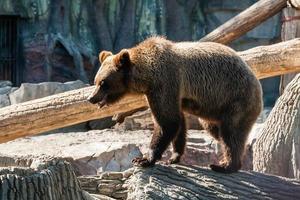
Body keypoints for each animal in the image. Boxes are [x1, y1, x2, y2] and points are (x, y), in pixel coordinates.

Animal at [87, 36, 262, 173]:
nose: (91, 98)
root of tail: (257, 84)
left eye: (103, 83)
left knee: (231, 133)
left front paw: (143, 159)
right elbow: (178, 122)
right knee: (215, 130)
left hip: (235, 99)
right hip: (215, 109)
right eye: (95, 81)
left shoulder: (164, 83)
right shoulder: (166, 93)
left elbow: (167, 122)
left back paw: (225, 165)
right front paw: (173, 157)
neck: (146, 78)